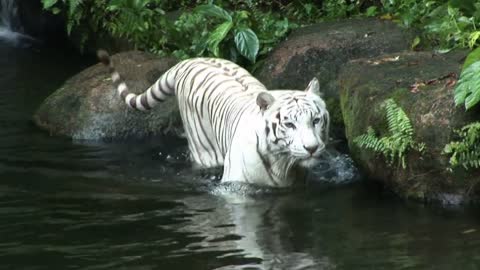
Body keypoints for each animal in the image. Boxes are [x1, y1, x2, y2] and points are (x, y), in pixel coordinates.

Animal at [97, 49, 330, 187]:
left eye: (316, 120)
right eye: (289, 124)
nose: (311, 148)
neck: (283, 164)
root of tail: (188, 60)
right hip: (203, 150)